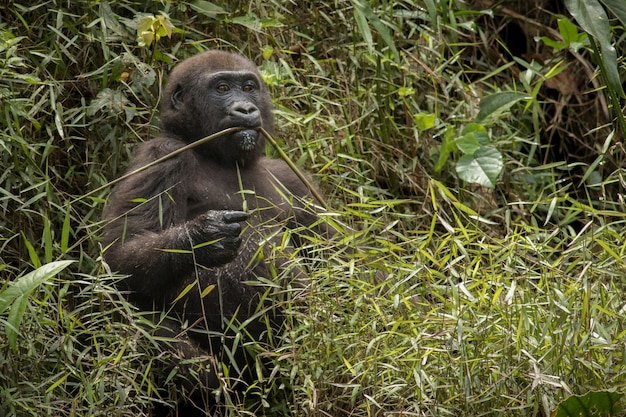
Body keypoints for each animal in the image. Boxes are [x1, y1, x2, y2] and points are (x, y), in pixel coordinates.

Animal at [100, 51, 330, 410]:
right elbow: (119, 256)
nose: (246, 109)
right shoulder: (161, 156)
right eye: (222, 88)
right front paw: (202, 237)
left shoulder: (292, 178)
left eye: (249, 87)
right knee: (148, 328)